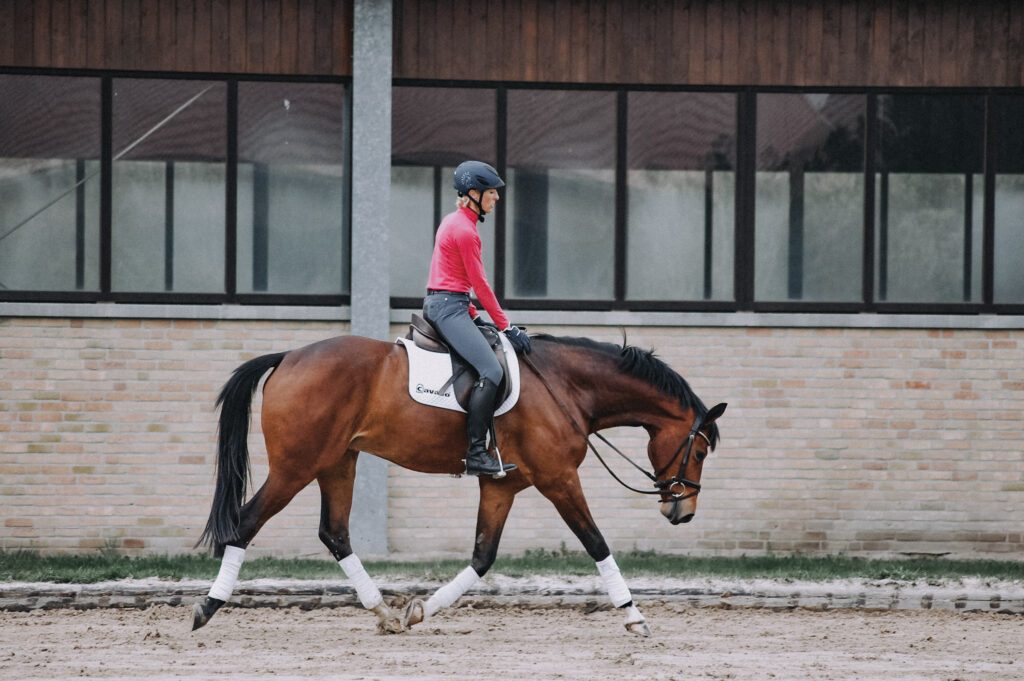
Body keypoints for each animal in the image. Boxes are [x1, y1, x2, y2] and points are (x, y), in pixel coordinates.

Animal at [192, 329, 729, 639]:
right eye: (701, 451)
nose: (682, 511)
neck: (566, 386)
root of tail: (289, 356)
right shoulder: (558, 479)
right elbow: (596, 542)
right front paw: (633, 615)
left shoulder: (502, 487)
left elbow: (482, 557)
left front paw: (419, 612)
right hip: (297, 466)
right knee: (246, 522)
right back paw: (208, 607)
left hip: (338, 461)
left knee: (335, 533)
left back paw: (384, 614)